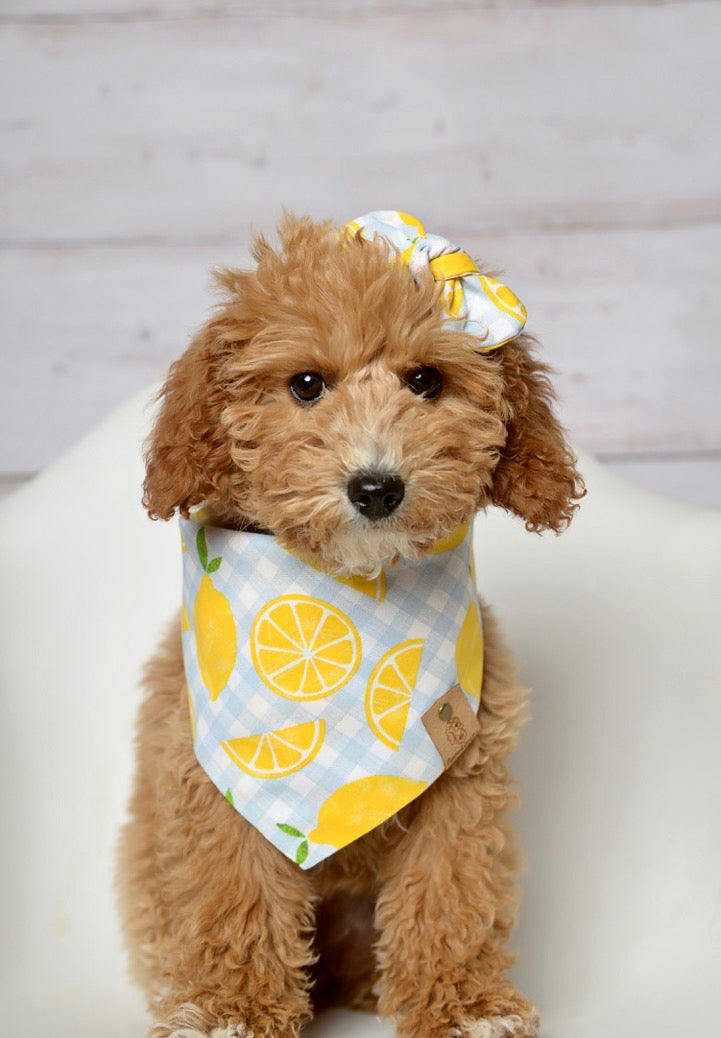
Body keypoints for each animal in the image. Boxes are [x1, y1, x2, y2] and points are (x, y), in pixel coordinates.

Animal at [115, 210, 585, 1038]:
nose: (375, 488)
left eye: (425, 380)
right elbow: (232, 893)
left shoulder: (464, 779)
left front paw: (461, 1005)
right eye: (306, 384)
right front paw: (231, 1008)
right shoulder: (211, 782)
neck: (352, 589)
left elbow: (449, 895)